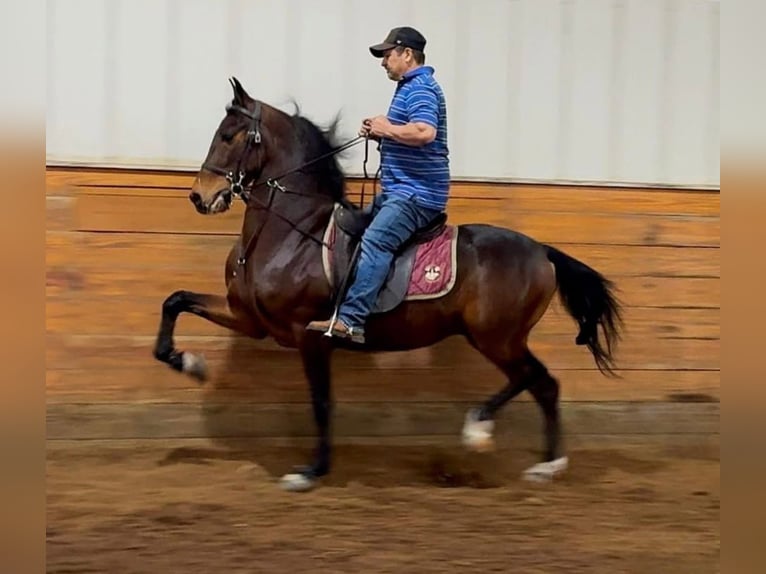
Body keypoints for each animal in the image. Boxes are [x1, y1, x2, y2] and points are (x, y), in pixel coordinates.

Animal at [153, 77, 623, 492]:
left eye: (230, 136)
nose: (200, 196)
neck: (291, 232)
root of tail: (542, 251)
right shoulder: (250, 318)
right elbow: (175, 301)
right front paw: (188, 363)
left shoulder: (310, 337)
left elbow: (321, 403)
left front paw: (311, 472)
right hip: (497, 338)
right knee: (542, 385)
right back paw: (546, 465)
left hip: (497, 337)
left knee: (538, 380)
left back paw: (485, 432)